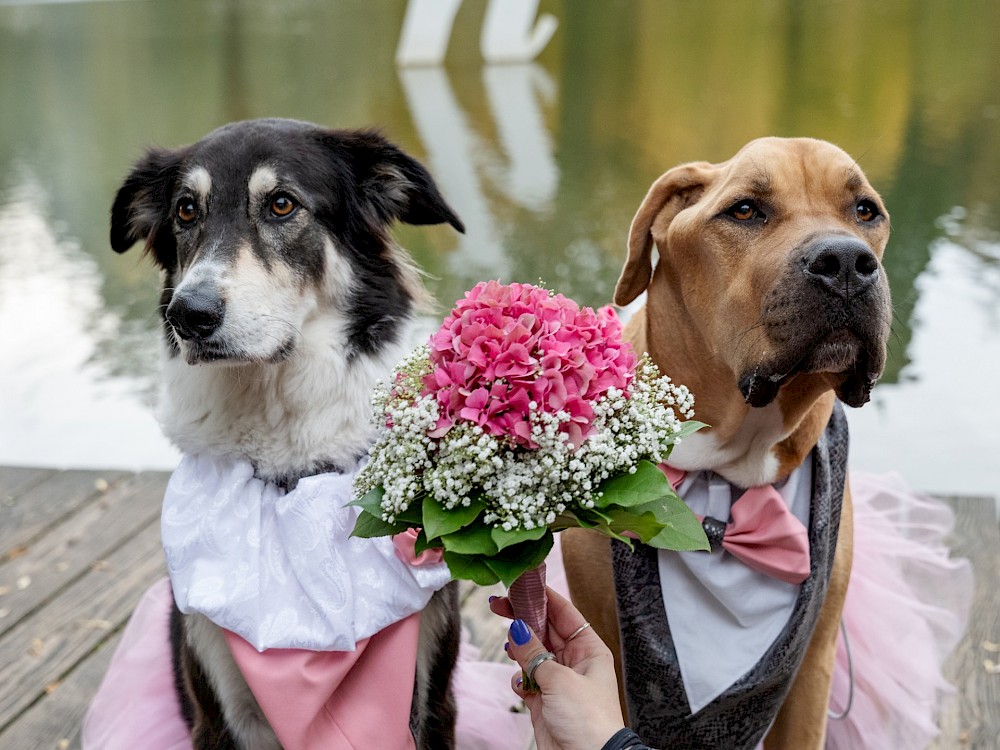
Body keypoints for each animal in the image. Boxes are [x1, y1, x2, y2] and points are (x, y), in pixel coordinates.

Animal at [564, 138, 892, 748]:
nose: (846, 263)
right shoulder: (599, 644)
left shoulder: (813, 668)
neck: (731, 467)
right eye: (744, 211)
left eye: (865, 211)